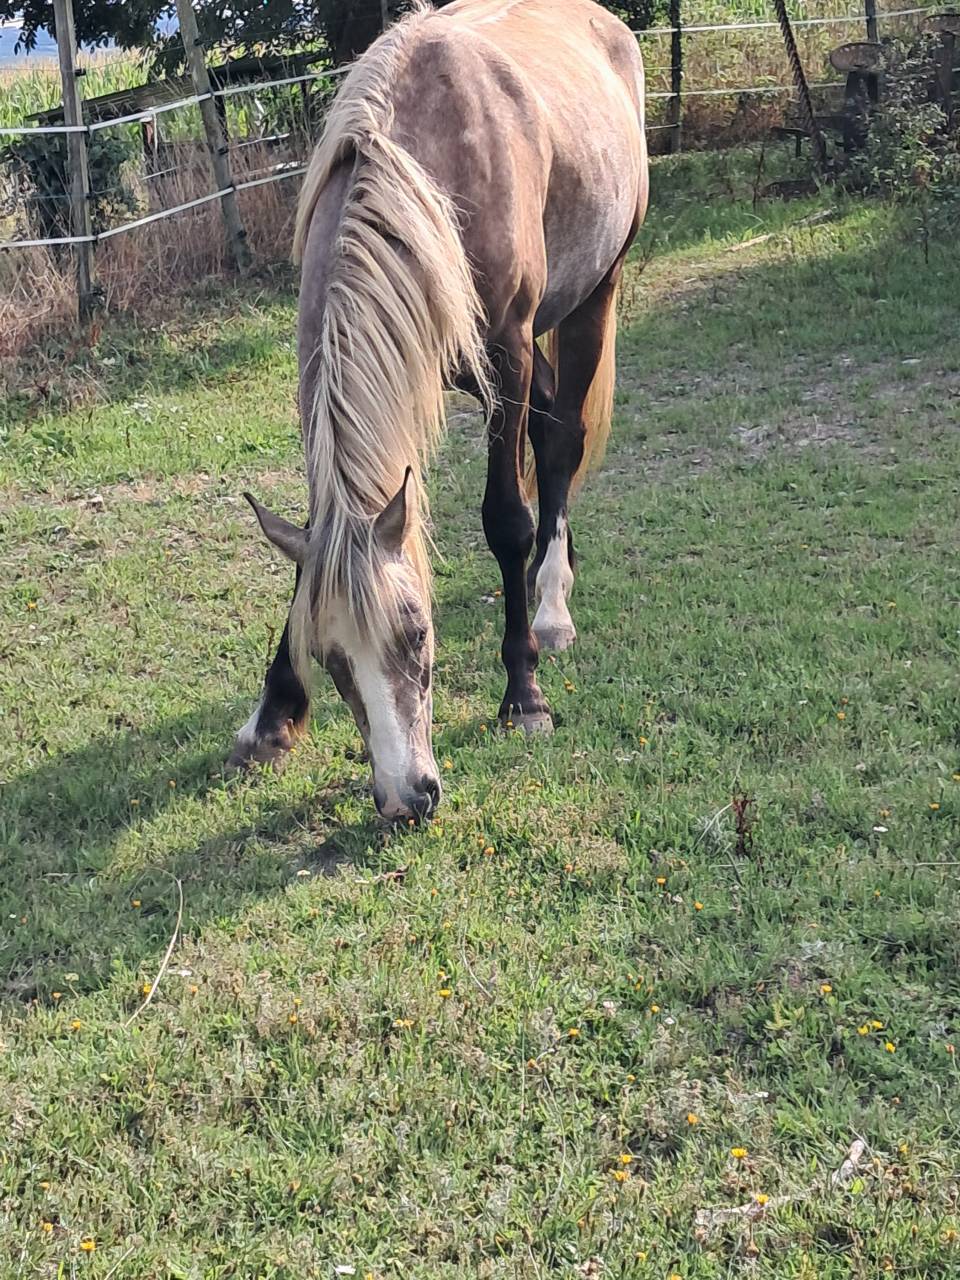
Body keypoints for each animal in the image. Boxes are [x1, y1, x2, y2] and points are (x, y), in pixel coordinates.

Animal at [230, 0, 648, 821]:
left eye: (420, 635)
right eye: (330, 660)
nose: (406, 797)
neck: (425, 178)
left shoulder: (508, 351)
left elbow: (506, 520)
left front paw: (523, 697)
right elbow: (311, 559)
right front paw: (272, 714)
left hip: (594, 295)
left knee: (563, 438)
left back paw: (551, 606)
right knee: (550, 431)